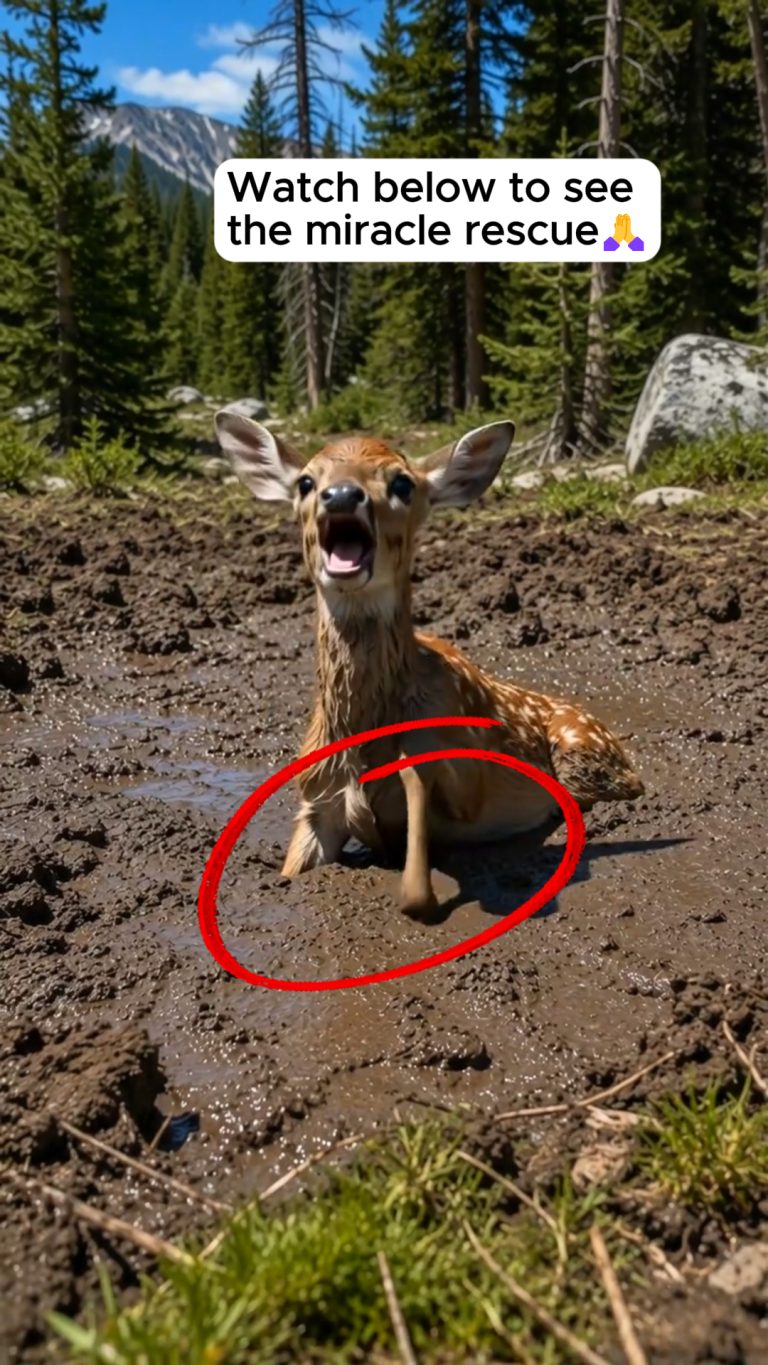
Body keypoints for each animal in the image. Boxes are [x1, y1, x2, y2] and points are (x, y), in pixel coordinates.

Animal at [215, 413, 644, 917]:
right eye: (306, 481)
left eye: (402, 482)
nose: (341, 495)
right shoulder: (316, 796)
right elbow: (293, 867)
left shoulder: (462, 781)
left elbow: (419, 860)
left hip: (583, 752)